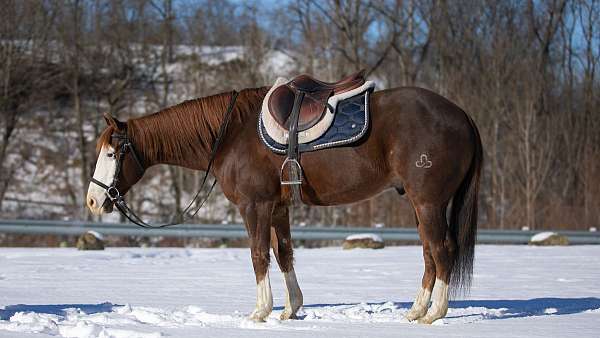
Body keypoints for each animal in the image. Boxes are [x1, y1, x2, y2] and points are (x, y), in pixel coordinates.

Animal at [86, 83, 482, 324]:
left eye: (111, 153)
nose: (92, 200)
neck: (232, 135)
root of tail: (462, 115)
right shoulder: (277, 208)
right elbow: (284, 253)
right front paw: (291, 309)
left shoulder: (255, 206)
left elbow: (259, 254)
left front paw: (260, 310)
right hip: (420, 205)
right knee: (429, 252)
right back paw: (416, 310)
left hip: (429, 202)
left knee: (442, 249)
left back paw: (435, 313)